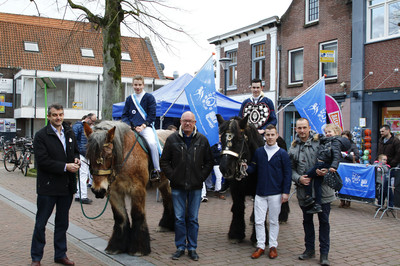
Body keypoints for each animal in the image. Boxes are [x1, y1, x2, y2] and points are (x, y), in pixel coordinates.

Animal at [83, 120, 174, 256]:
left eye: (109, 155)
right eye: (89, 155)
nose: (98, 190)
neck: (125, 157)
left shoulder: (137, 189)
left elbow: (137, 214)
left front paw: (138, 249)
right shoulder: (114, 192)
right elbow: (120, 216)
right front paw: (116, 246)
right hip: (163, 183)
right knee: (168, 200)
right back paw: (166, 225)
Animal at [217, 115, 290, 244]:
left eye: (240, 139)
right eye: (222, 139)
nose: (225, 168)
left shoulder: (260, 190)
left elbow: (260, 211)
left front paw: (258, 237)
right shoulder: (236, 190)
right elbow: (238, 208)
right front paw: (236, 234)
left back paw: (282, 217)